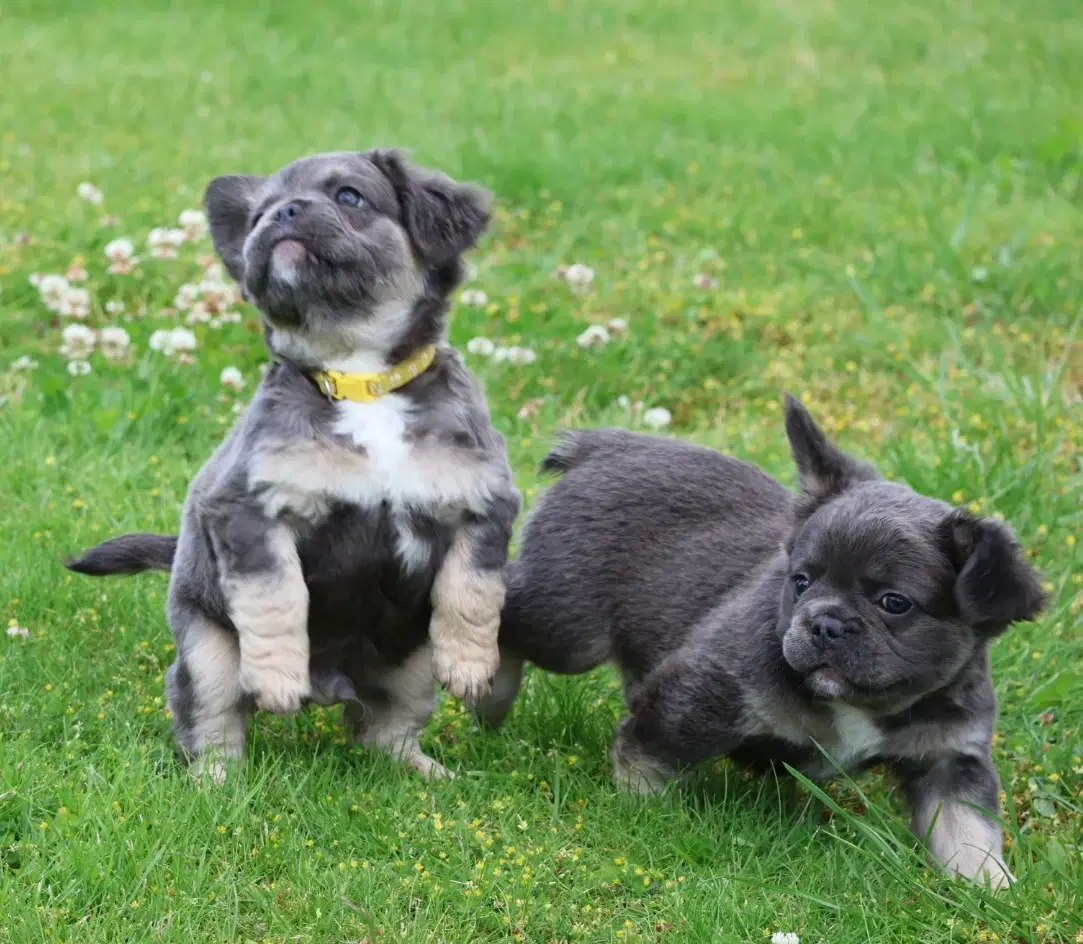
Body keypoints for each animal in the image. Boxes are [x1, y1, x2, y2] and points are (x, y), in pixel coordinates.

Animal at [66, 149, 519, 783]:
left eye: (350, 196)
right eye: (258, 214)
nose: (282, 214)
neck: (359, 381)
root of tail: (333, 686)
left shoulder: (484, 504)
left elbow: (473, 591)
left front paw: (472, 666)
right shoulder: (248, 511)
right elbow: (277, 597)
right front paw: (278, 677)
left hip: (408, 663)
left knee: (386, 730)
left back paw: (424, 774)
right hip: (205, 654)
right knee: (213, 724)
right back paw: (216, 784)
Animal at [480, 396, 1039, 883]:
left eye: (894, 603)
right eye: (802, 582)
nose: (824, 623)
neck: (863, 706)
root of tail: (602, 447)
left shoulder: (950, 760)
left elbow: (968, 832)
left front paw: (988, 890)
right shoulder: (702, 693)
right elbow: (645, 754)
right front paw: (643, 815)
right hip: (566, 627)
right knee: (503, 613)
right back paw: (485, 682)